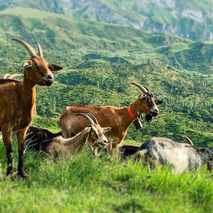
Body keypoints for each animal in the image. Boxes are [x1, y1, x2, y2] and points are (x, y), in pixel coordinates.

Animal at [0, 38, 62, 178]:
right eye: (35, 65)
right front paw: (9, 174)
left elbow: (21, 150)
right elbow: (10, 151)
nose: (50, 78)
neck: (19, 96)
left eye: (48, 65)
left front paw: (23, 173)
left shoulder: (23, 128)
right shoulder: (6, 127)